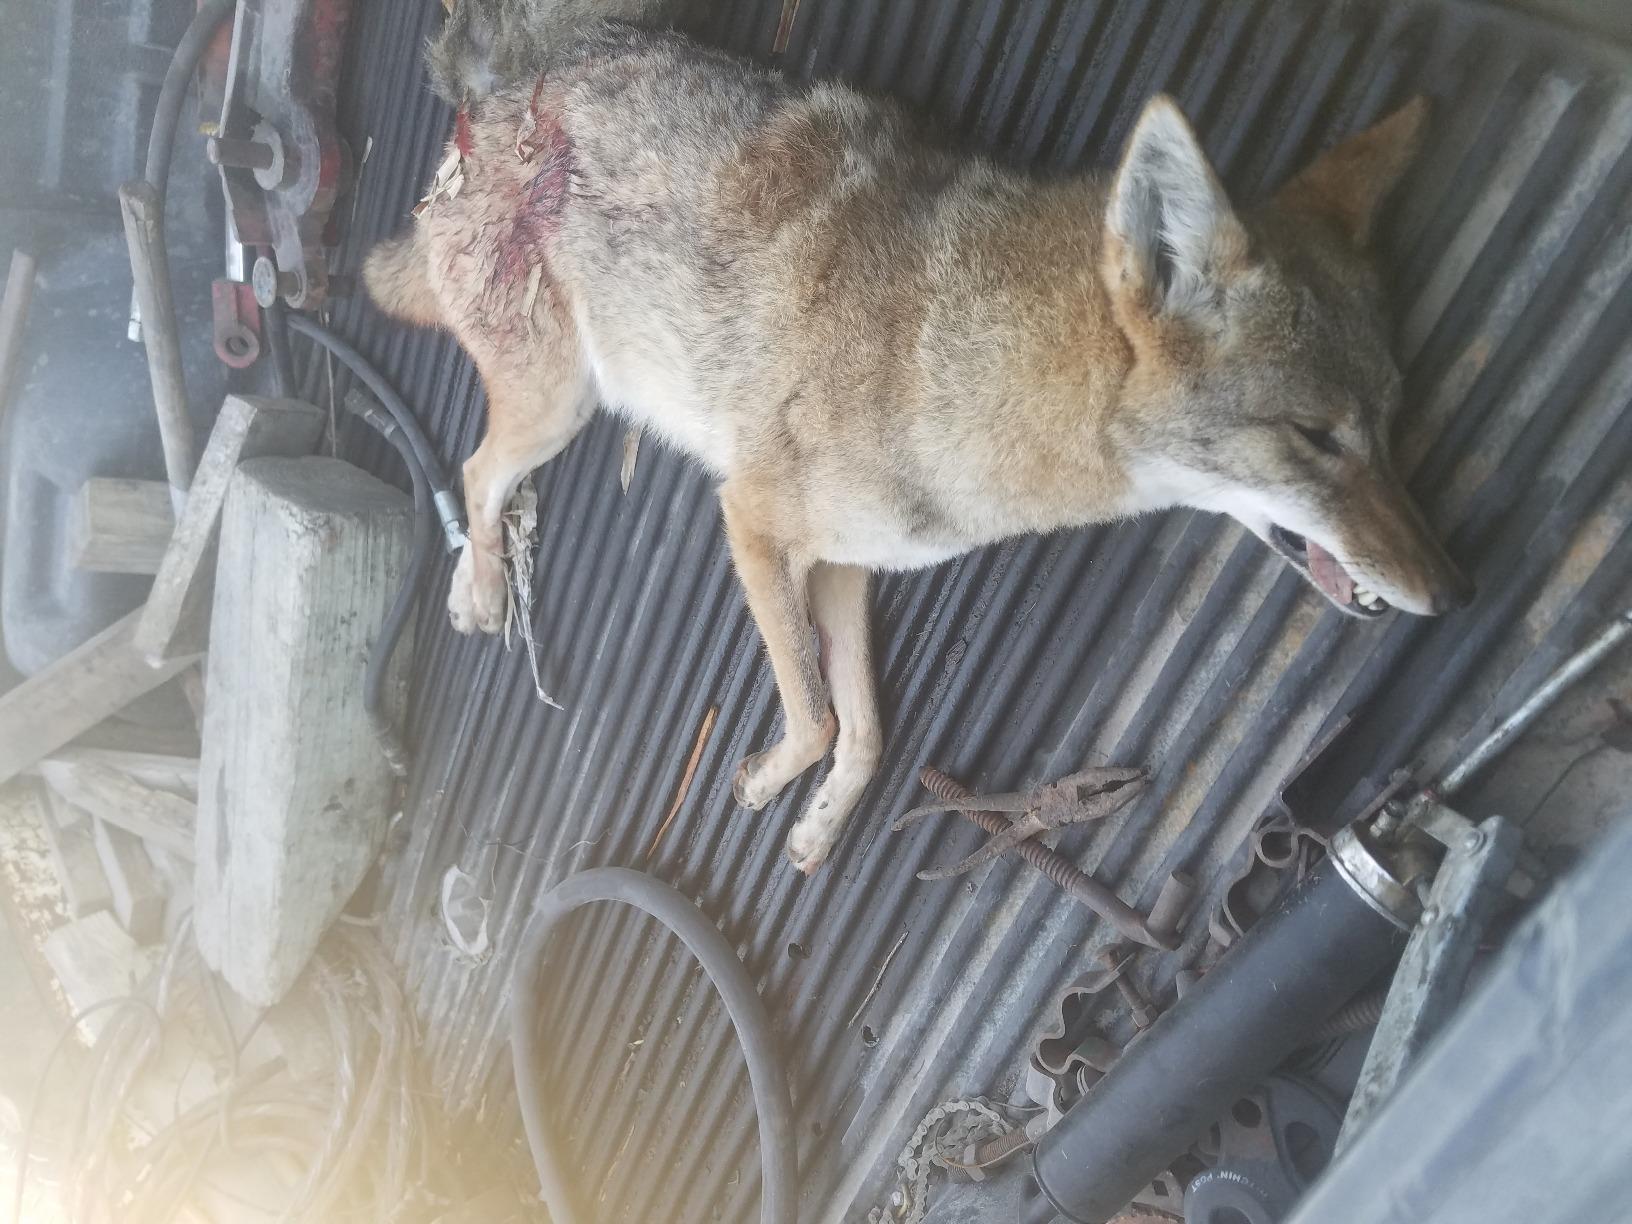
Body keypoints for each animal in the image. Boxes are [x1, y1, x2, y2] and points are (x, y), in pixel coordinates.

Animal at [363, 0, 1473, 874]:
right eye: (1317, 437)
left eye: (1390, 419)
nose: (1455, 595)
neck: (954, 374)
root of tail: (497, 96)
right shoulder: (753, 525)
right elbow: (815, 718)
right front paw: (769, 780)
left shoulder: (850, 565)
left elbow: (863, 731)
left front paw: (817, 827)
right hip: (562, 409)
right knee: (476, 471)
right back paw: (479, 592)